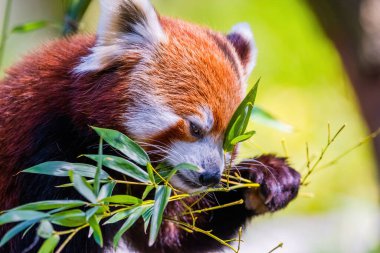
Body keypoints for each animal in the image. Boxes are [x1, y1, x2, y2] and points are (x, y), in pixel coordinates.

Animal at [0, 0, 300, 252]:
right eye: (195, 128)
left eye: (230, 141)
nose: (211, 177)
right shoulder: (52, 159)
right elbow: (53, 234)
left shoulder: (149, 199)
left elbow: (168, 236)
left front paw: (267, 177)